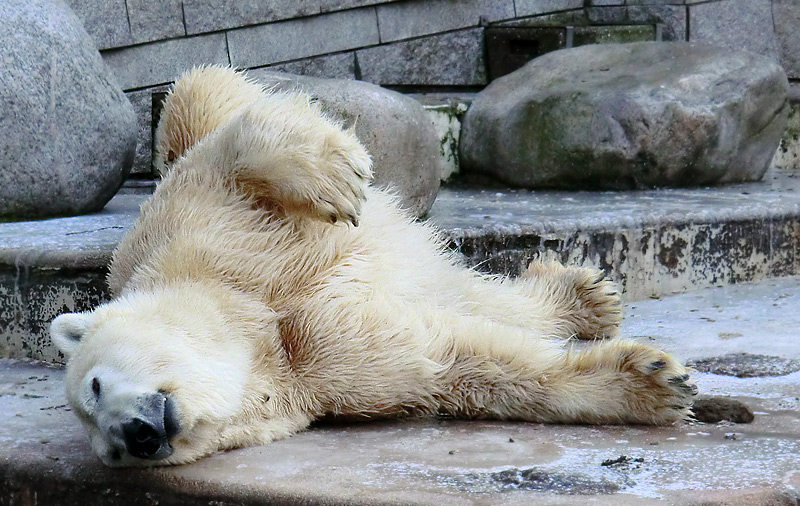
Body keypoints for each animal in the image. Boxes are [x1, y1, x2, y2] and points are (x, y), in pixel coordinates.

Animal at [53, 66, 696, 466]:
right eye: (105, 448)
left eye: (95, 384)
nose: (135, 436)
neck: (253, 324)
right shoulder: (322, 375)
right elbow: (462, 364)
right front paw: (653, 382)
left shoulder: (195, 235)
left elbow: (235, 150)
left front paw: (336, 176)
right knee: (479, 301)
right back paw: (583, 296)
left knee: (200, 99)